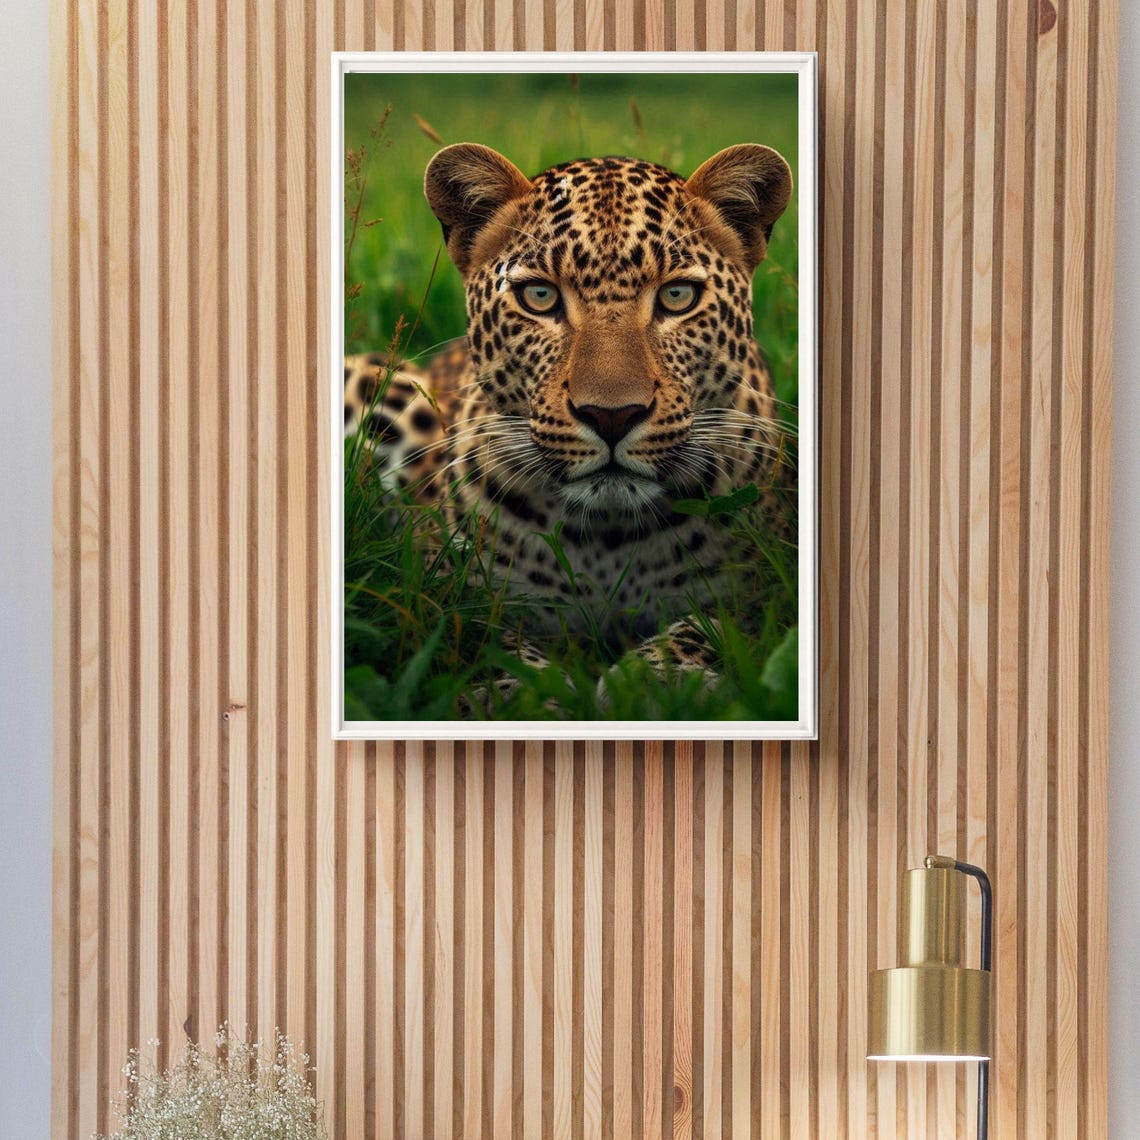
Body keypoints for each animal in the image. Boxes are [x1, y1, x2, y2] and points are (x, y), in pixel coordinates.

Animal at [344, 141, 796, 711]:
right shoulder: (439, 593)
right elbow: (476, 635)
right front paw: (521, 694)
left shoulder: (765, 593)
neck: (607, 537)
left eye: (677, 297)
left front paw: (659, 681)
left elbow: (710, 629)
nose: (612, 415)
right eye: (539, 297)